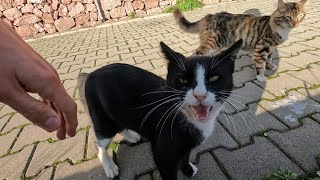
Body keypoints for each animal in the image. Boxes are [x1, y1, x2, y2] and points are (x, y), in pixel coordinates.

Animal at [77, 39, 242, 180]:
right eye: (183, 80)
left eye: (214, 78)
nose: (200, 95)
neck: (188, 119)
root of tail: (91, 73)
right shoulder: (162, 152)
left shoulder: (186, 145)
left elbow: (185, 156)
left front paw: (187, 169)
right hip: (100, 115)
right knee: (101, 141)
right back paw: (109, 165)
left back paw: (132, 136)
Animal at [172, 0, 308, 81]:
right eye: (288, 17)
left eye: (300, 16)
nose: (295, 23)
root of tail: (207, 16)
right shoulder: (261, 48)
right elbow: (261, 65)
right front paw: (261, 77)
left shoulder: (271, 48)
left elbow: (269, 59)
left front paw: (270, 66)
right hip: (211, 44)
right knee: (196, 54)